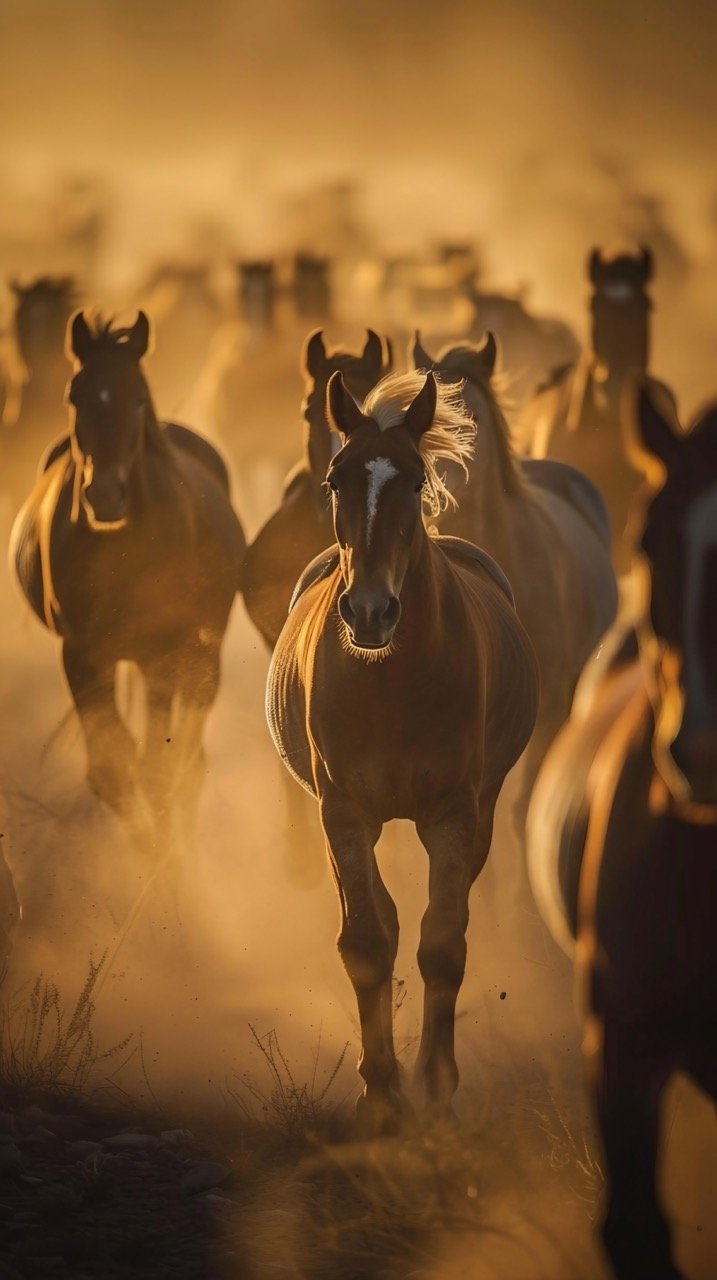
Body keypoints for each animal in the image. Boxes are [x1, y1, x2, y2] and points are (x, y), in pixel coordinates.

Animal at [266, 371, 535, 1131]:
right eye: (336, 479)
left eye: (414, 481)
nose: (368, 610)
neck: (390, 681)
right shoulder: (342, 813)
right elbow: (365, 939)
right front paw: (380, 1094)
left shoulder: (453, 814)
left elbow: (442, 941)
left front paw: (435, 1084)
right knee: (380, 919)